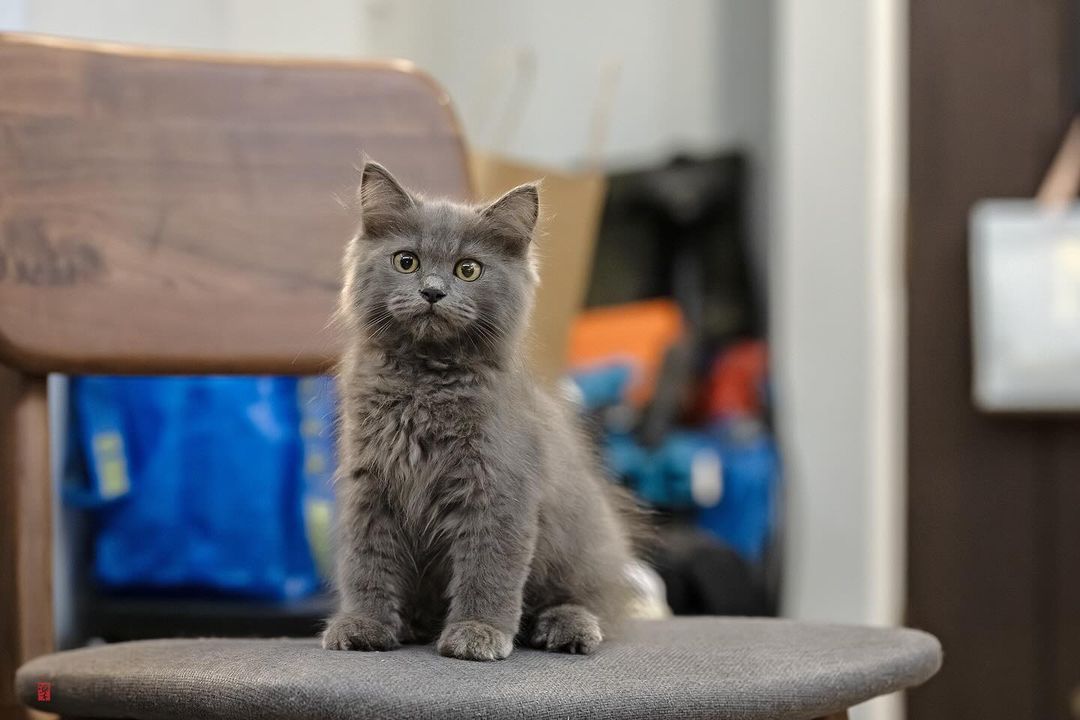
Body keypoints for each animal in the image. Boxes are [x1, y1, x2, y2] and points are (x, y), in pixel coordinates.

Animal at [319, 165, 639, 664]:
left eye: (468, 269)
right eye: (406, 261)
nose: (433, 291)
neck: (425, 381)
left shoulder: (498, 488)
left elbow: (488, 569)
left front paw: (478, 631)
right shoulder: (369, 486)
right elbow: (367, 562)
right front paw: (364, 624)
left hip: (581, 550)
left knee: (589, 602)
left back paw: (568, 627)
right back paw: (413, 624)